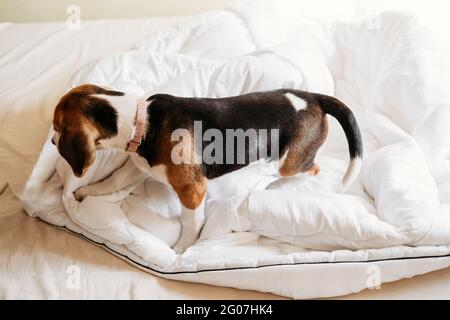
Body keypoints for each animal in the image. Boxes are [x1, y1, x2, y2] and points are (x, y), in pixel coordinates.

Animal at [51, 84, 362, 254]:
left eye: (56, 127)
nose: (53, 141)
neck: (143, 119)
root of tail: (314, 97)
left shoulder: (191, 188)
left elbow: (190, 223)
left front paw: (182, 250)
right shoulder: (137, 167)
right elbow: (113, 182)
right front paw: (88, 191)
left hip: (290, 162)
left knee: (310, 170)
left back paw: (275, 184)